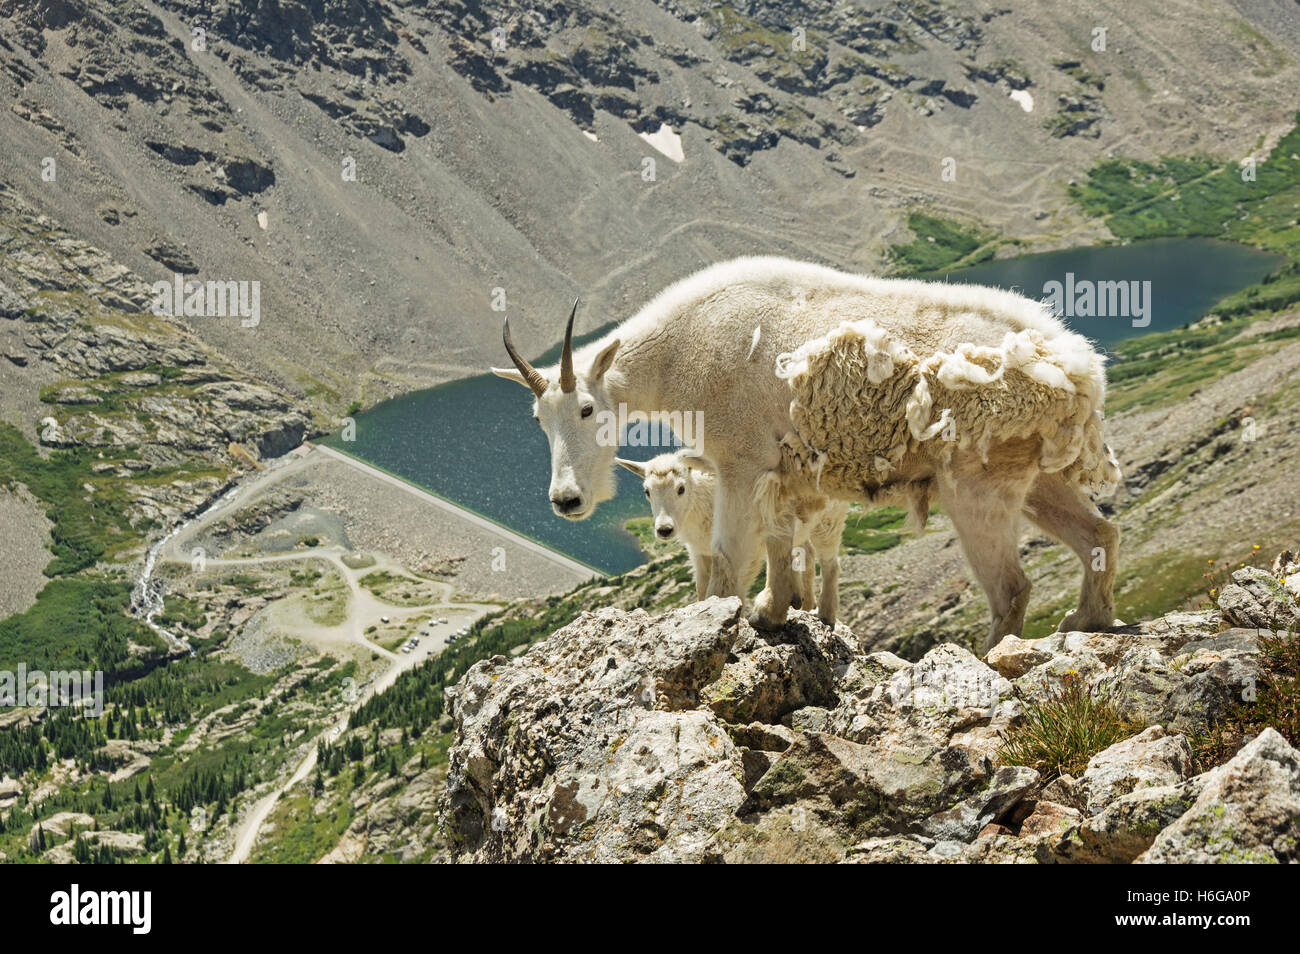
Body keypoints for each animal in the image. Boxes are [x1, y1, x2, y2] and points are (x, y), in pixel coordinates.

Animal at [491, 257, 1123, 655]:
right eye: (538, 419)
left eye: (587, 410)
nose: (566, 500)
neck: (682, 352)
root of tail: (1080, 371)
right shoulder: (779, 473)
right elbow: (779, 544)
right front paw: (774, 612)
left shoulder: (738, 462)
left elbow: (728, 559)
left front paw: (718, 628)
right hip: (1035, 476)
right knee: (1098, 533)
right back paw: (1086, 619)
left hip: (975, 481)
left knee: (1011, 586)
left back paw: (988, 658)